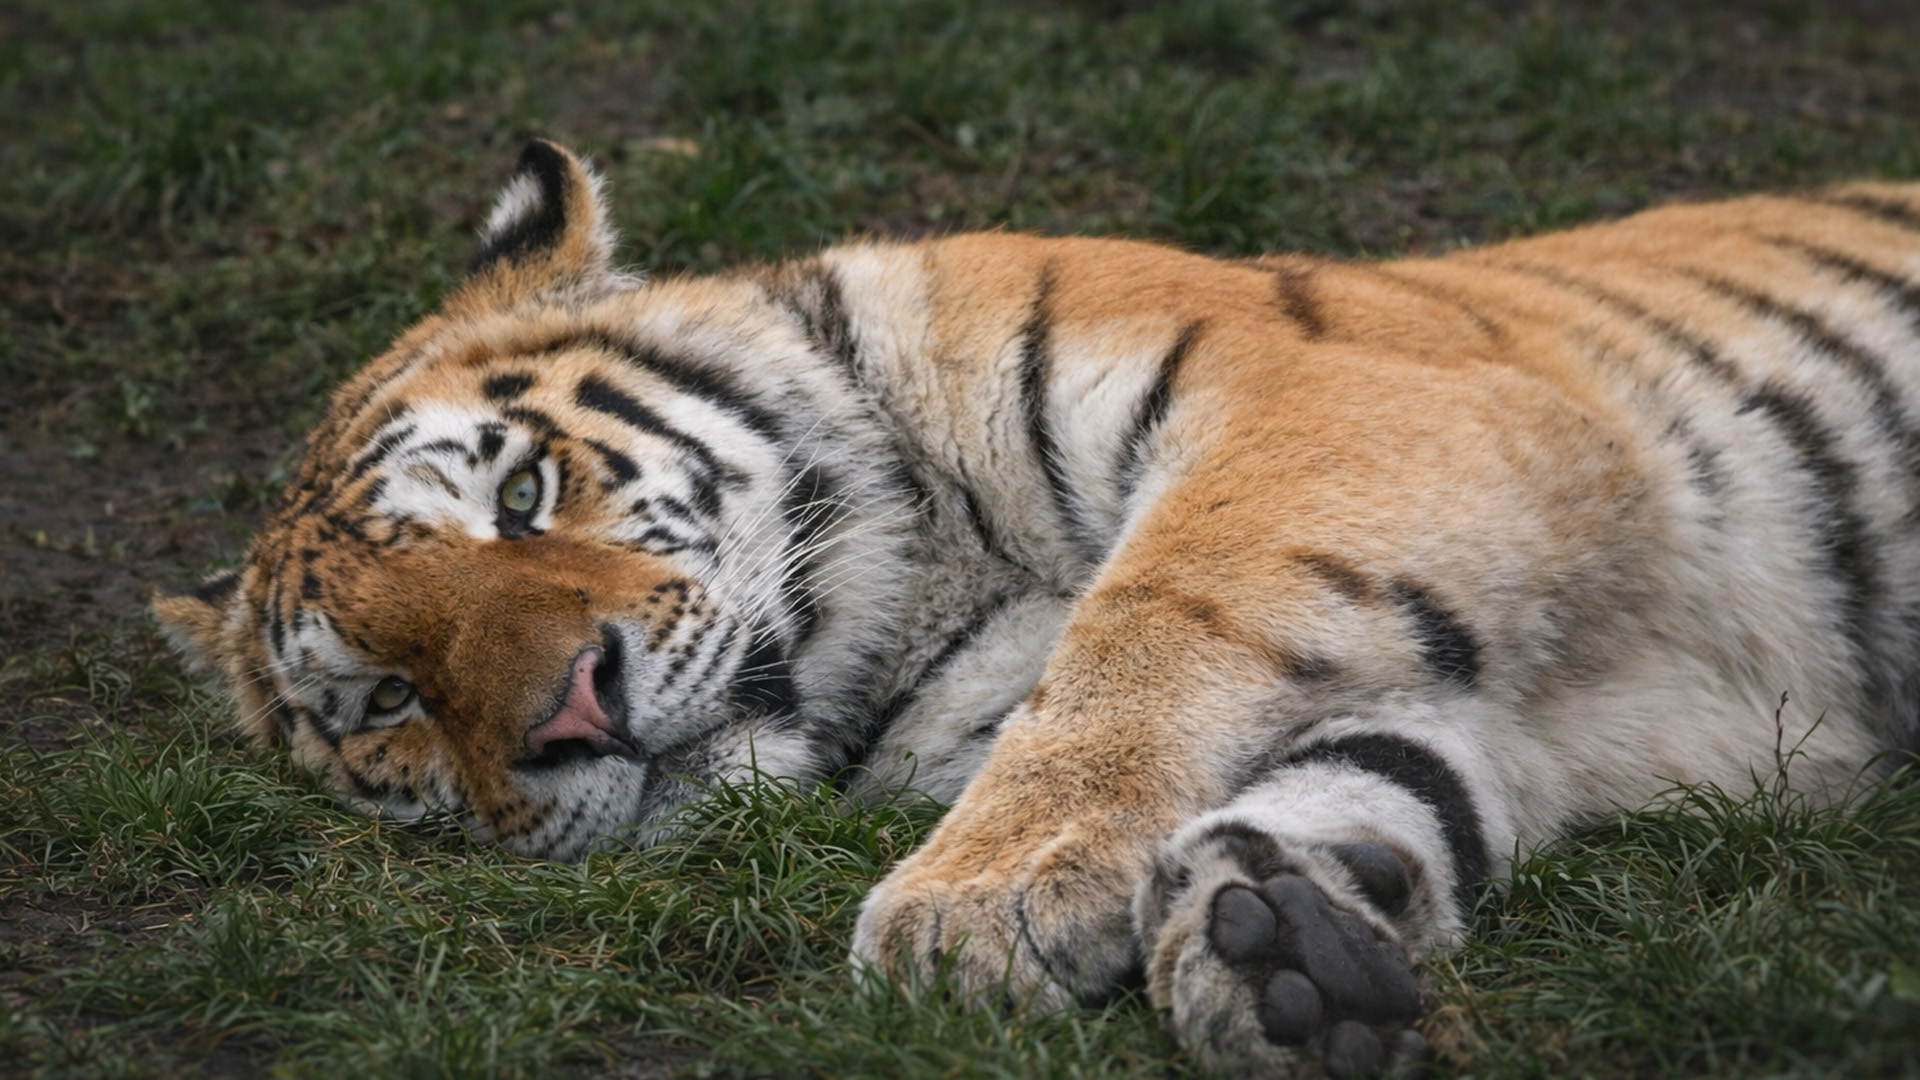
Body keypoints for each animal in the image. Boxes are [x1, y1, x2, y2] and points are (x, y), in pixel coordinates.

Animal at [155, 138, 1920, 1078]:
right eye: (389, 701)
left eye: (521, 497)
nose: (570, 712)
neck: (920, 590)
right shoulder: (1538, 705)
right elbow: (1389, 770)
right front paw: (1286, 950)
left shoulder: (1350, 407)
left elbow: (1156, 622)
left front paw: (977, 903)